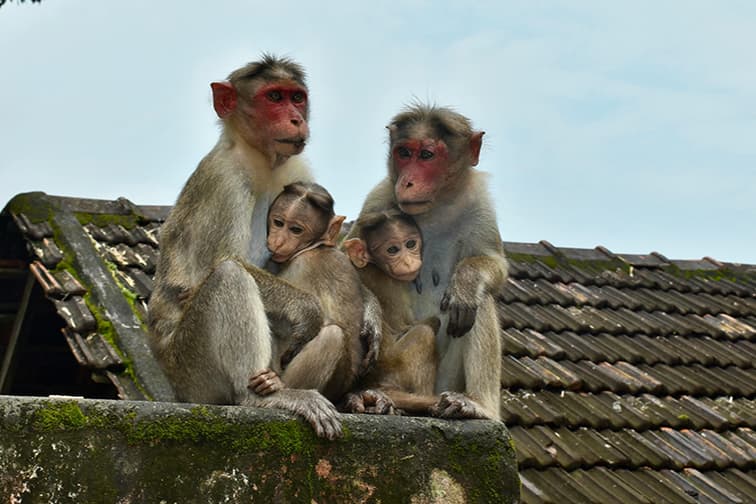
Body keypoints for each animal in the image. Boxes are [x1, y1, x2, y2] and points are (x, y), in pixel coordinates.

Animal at [148, 55, 342, 440]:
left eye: (297, 98)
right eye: (274, 97)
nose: (296, 119)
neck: (259, 158)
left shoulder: (296, 168)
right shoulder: (226, 181)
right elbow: (223, 260)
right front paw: (308, 310)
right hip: (192, 370)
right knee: (230, 276)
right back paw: (259, 398)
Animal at [248, 181, 366, 402]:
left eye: (296, 229)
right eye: (278, 223)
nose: (278, 241)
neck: (312, 248)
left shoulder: (316, 264)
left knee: (333, 335)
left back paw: (280, 386)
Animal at [346, 104, 508, 420]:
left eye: (427, 155)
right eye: (404, 152)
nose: (407, 181)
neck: (437, 206)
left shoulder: (479, 204)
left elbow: (495, 266)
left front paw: (467, 281)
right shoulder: (379, 198)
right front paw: (371, 311)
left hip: (444, 381)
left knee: (478, 303)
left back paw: (478, 405)